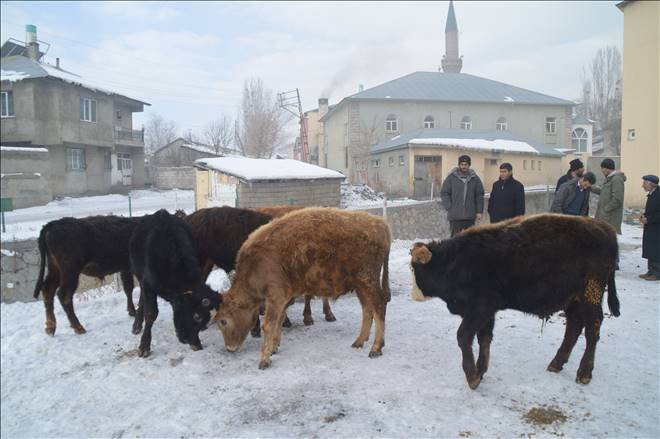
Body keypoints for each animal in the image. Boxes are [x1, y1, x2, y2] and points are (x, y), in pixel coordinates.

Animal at [128, 210, 222, 358]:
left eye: (205, 325)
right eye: (197, 316)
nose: (190, 341)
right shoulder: (149, 284)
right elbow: (151, 314)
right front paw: (144, 346)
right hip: (139, 274)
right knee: (142, 298)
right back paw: (137, 325)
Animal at [217, 208, 392, 370]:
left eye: (223, 321)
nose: (230, 348)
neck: (256, 264)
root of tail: (380, 223)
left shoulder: (275, 297)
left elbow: (269, 325)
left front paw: (264, 360)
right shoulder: (283, 299)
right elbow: (279, 321)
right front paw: (274, 348)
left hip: (368, 281)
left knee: (379, 307)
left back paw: (375, 348)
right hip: (360, 285)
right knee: (367, 309)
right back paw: (359, 341)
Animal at [410, 215, 620, 390]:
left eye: (414, 268)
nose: (414, 295)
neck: (454, 262)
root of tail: (604, 228)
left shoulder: (480, 309)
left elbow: (464, 336)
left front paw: (472, 377)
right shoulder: (487, 312)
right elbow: (484, 338)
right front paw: (480, 370)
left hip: (590, 296)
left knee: (592, 329)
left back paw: (584, 373)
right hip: (572, 300)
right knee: (574, 327)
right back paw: (556, 364)